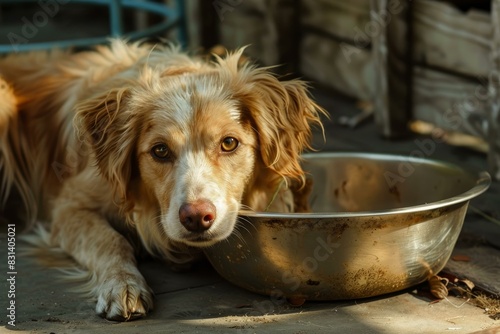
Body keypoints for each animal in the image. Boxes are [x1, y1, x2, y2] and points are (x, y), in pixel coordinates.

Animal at [0, 39, 326, 320]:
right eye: (160, 150)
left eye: (229, 143)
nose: (196, 218)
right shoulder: (69, 206)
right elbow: (111, 239)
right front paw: (123, 284)